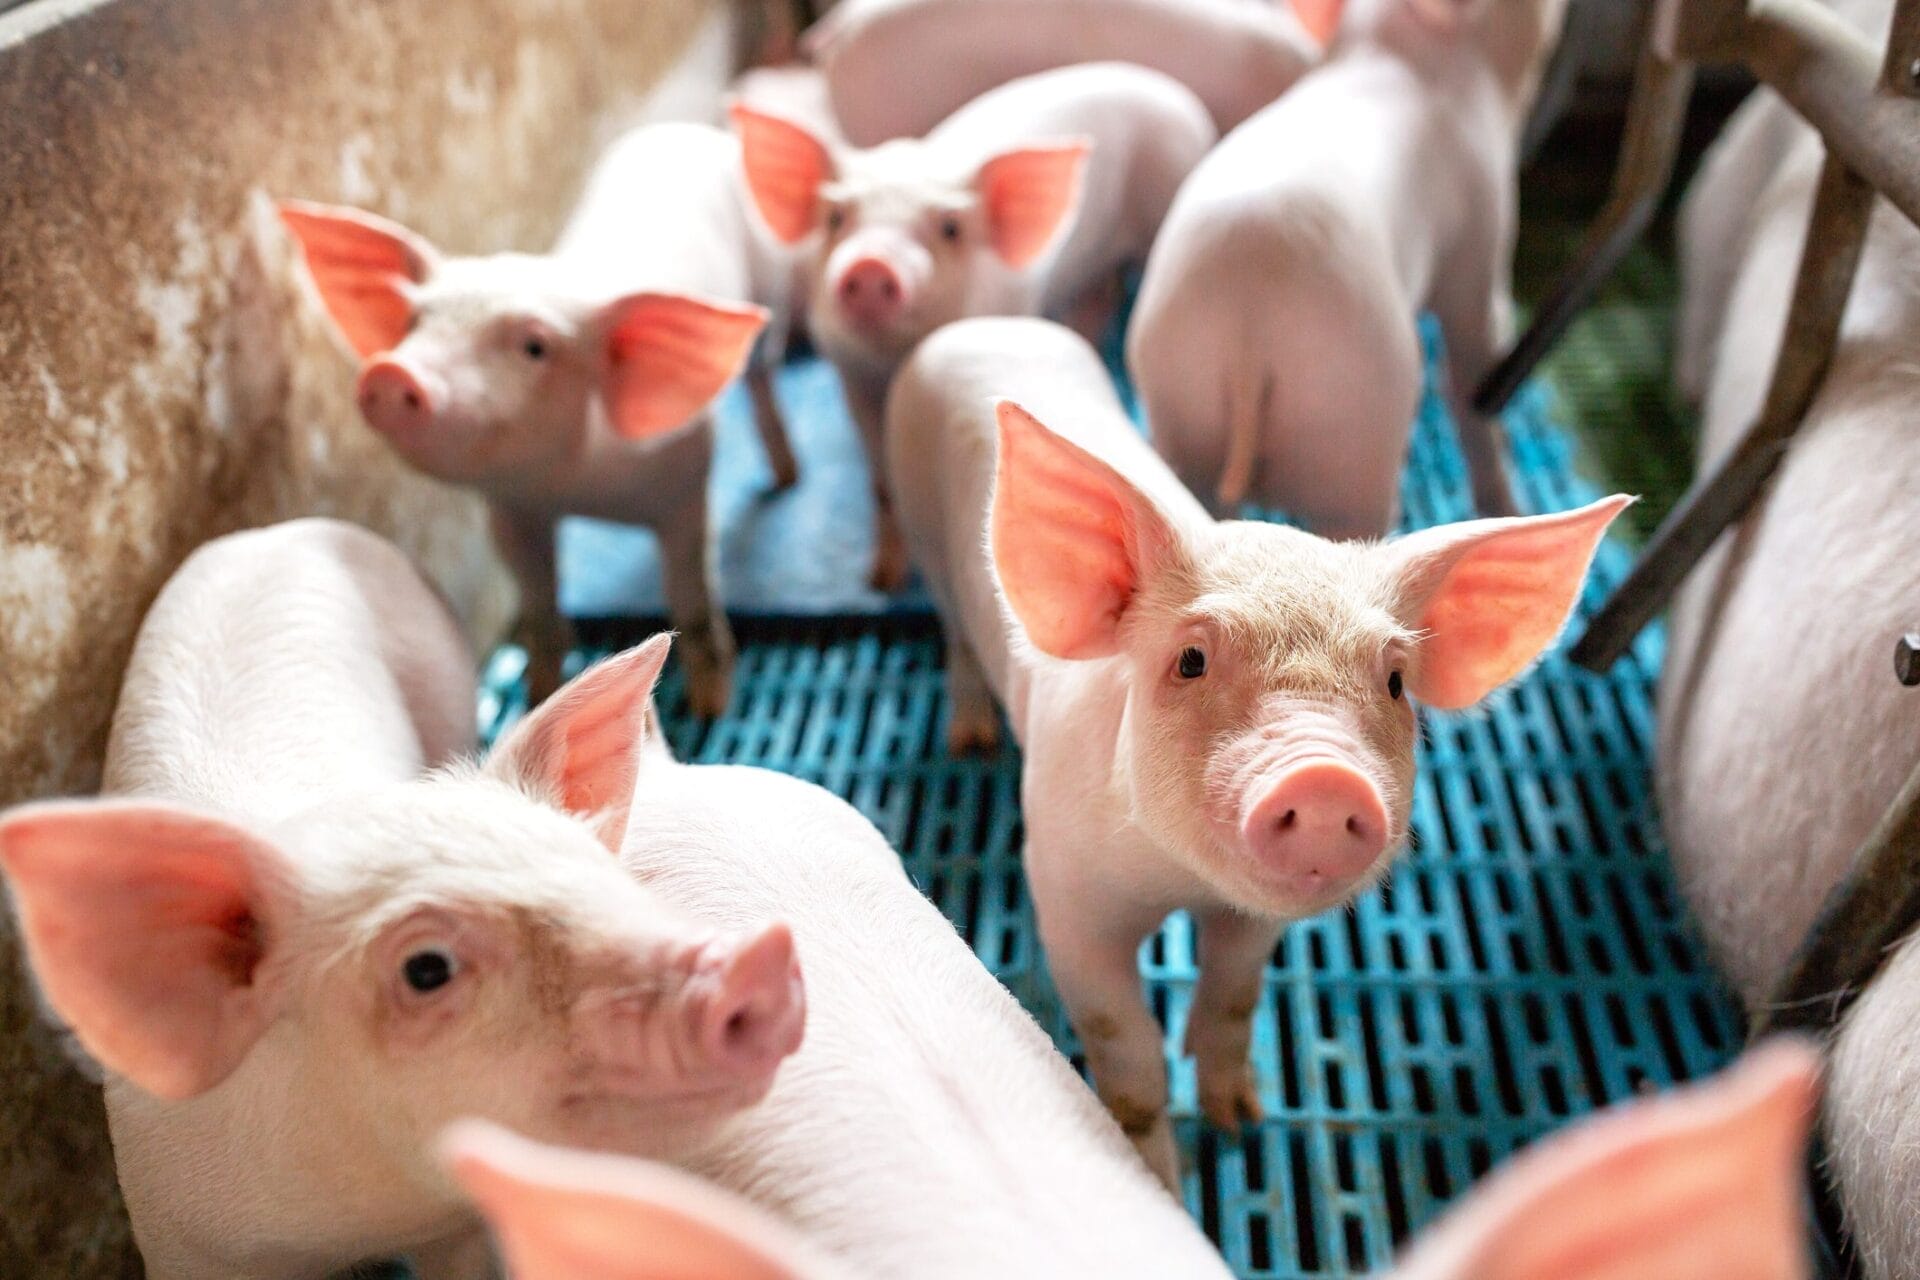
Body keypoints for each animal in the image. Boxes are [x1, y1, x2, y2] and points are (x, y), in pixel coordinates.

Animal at [0, 521, 803, 1280]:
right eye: (426, 969)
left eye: (601, 874)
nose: (760, 957)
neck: (348, 1224)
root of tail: (280, 530)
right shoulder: (178, 1236)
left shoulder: (453, 1228)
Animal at [280, 120, 790, 715]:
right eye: (414, 321)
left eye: (534, 347)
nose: (390, 371)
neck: (574, 488)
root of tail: (686, 129)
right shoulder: (513, 510)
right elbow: (541, 614)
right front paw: (537, 697)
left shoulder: (687, 484)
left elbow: (691, 600)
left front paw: (712, 708)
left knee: (764, 377)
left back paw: (785, 479)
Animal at [731, 62, 1217, 587]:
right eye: (836, 218)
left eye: (950, 227)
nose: (871, 264)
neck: (892, 360)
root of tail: (1167, 89)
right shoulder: (850, 374)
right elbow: (881, 483)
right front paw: (880, 580)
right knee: (1097, 300)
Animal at [887, 317, 1627, 1187]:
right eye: (1191, 660)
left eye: (1395, 681)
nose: (1327, 777)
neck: (1180, 883)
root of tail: (984, 324)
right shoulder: (1066, 893)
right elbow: (1127, 1057)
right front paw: (1161, 1179)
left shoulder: (1254, 922)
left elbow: (1233, 997)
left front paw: (1241, 1118)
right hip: (924, 535)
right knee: (954, 634)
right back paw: (969, 739)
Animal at [1128, 0, 1569, 538]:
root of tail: (1248, 338)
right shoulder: (1482, 232)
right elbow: (1476, 365)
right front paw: (1510, 506)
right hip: (1351, 430)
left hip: (1184, 404)